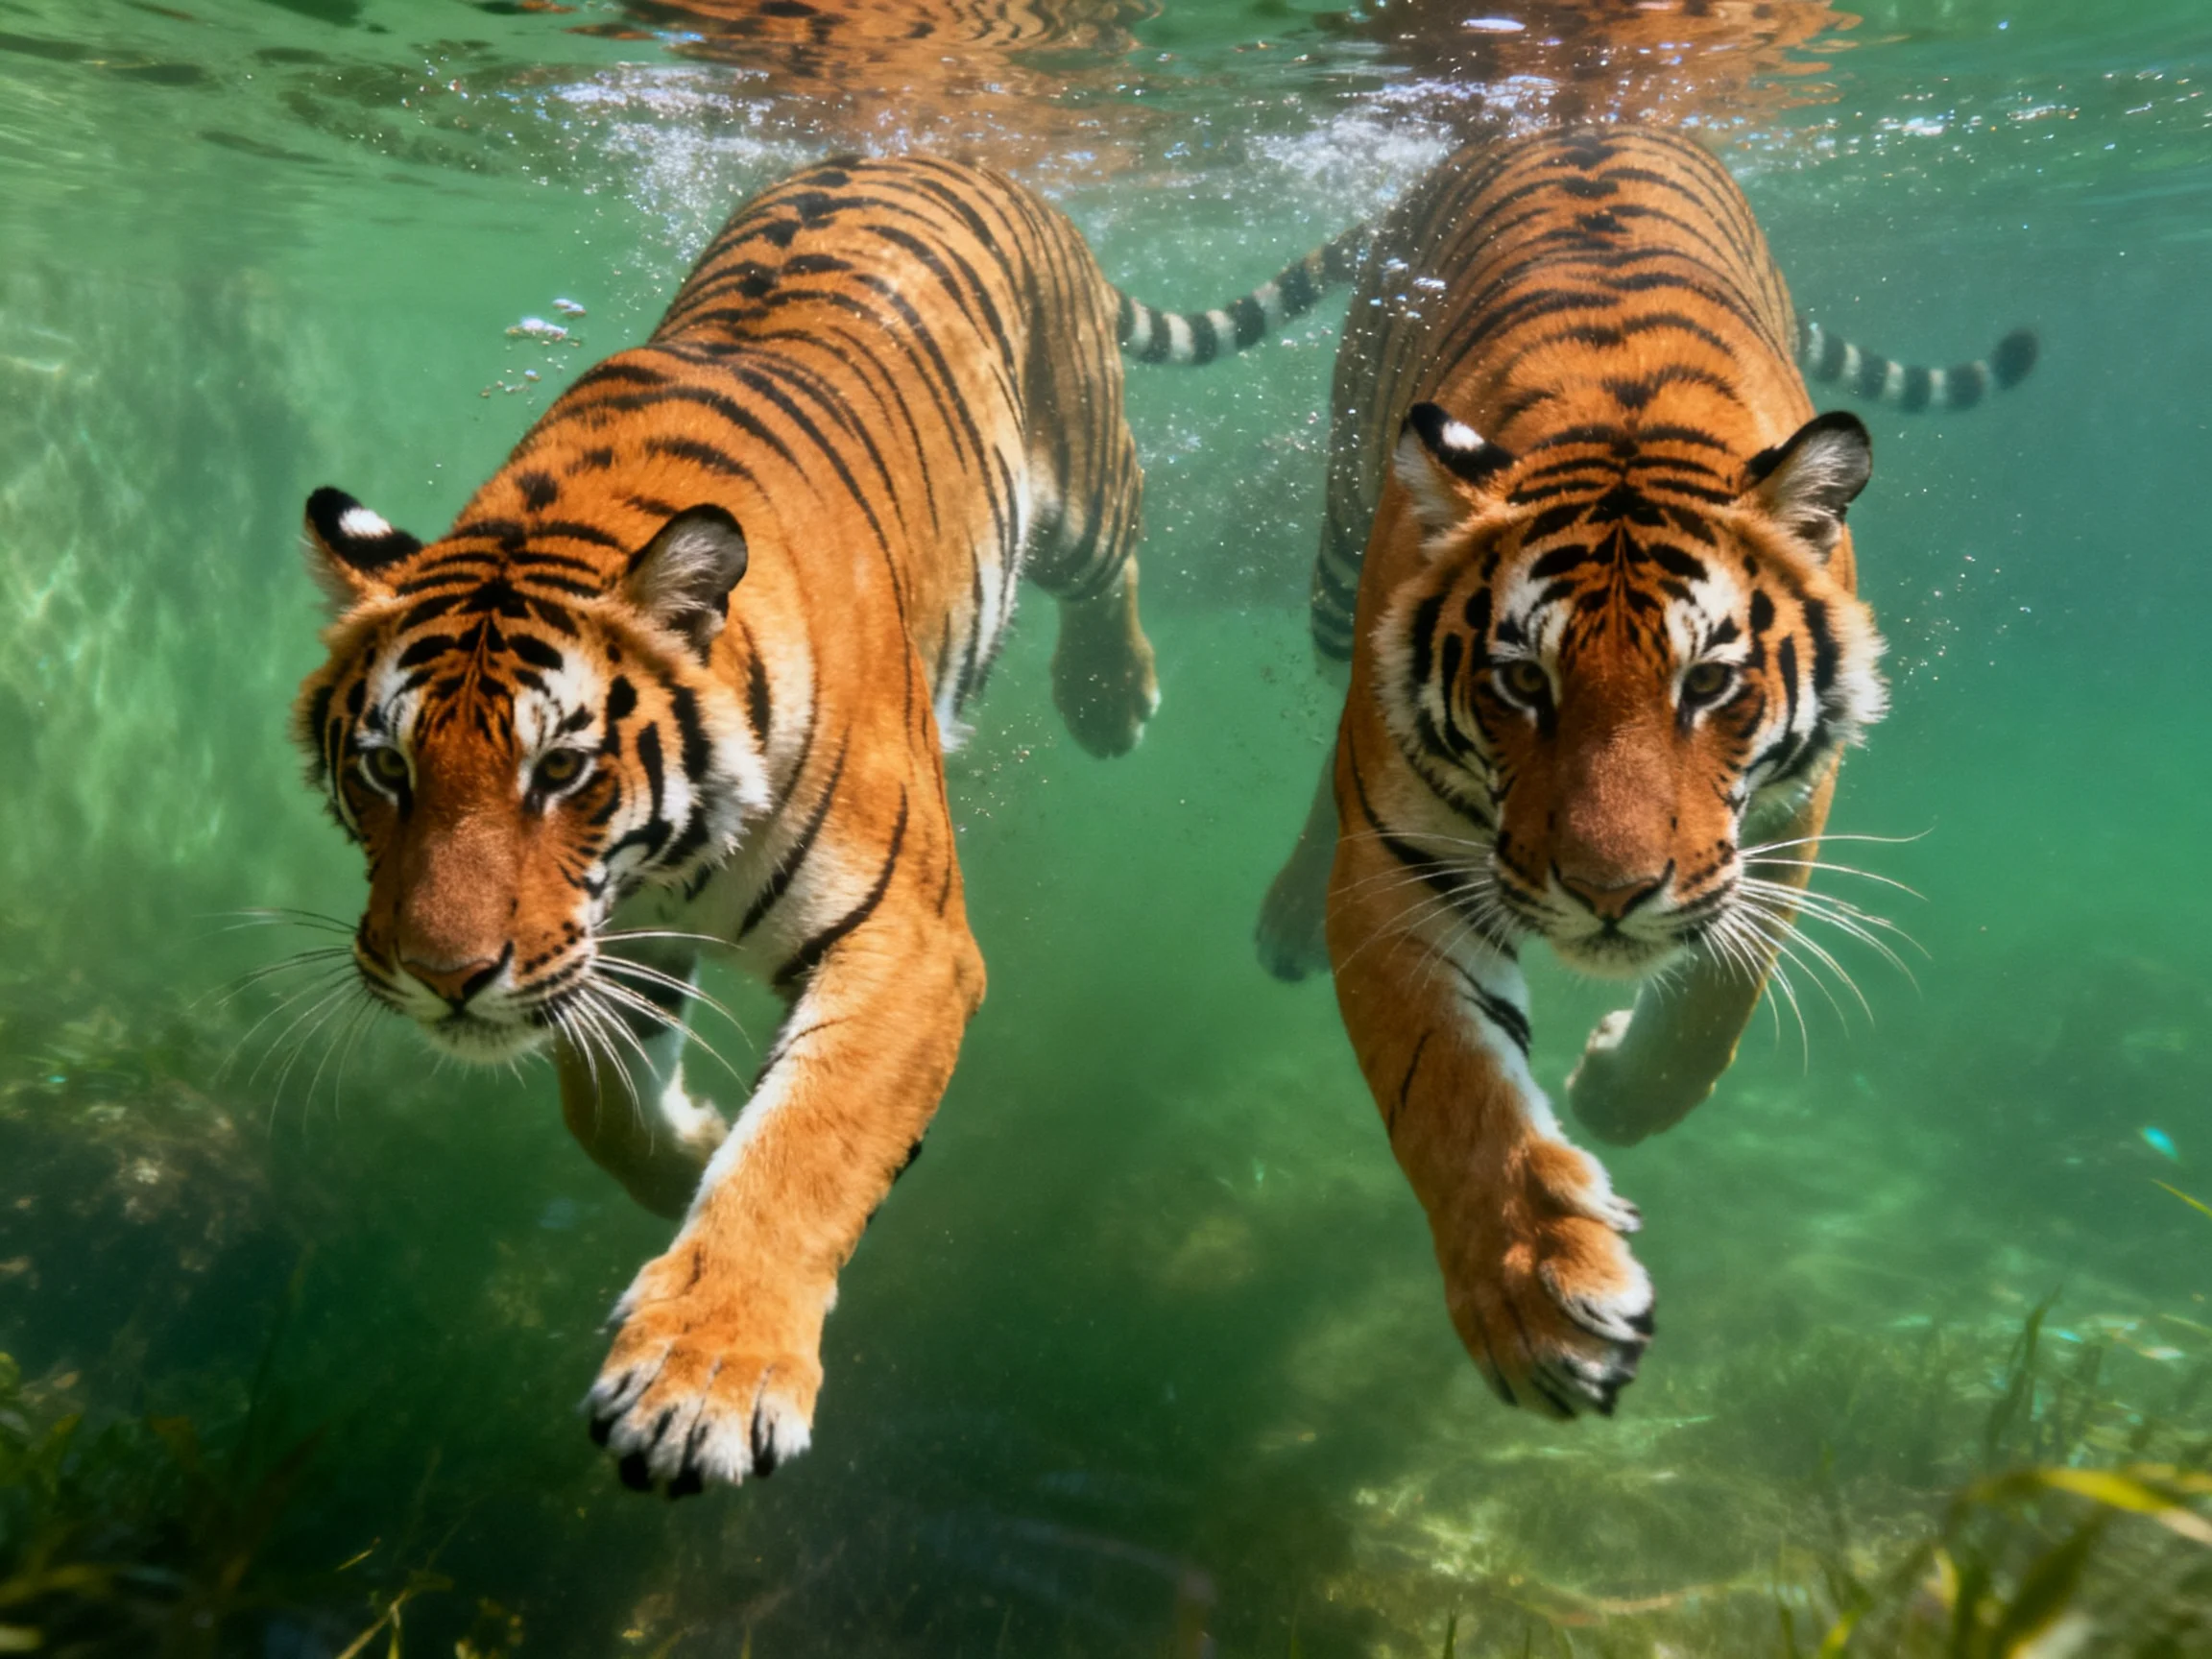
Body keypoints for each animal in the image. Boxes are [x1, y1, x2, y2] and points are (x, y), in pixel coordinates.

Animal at [290, 153, 1206, 1496]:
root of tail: (933, 152)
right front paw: (697, 1148)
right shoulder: (610, 946)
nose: (439, 977)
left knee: (1120, 548)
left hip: (1083, 486)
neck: (662, 866)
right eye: (384, 769)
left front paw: (701, 1382)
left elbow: (809, 1143)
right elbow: (608, 1116)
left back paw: (1111, 697)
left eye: (561, 768)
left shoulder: (907, 944)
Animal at [1239, 125, 2035, 1416]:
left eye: (1707, 684)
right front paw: (1538, 1301)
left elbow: (1719, 996)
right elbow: (1445, 1085)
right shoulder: (1401, 868)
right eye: (1523, 683)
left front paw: (1616, 1088)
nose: (1608, 895)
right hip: (1335, 567)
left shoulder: (1789, 821)